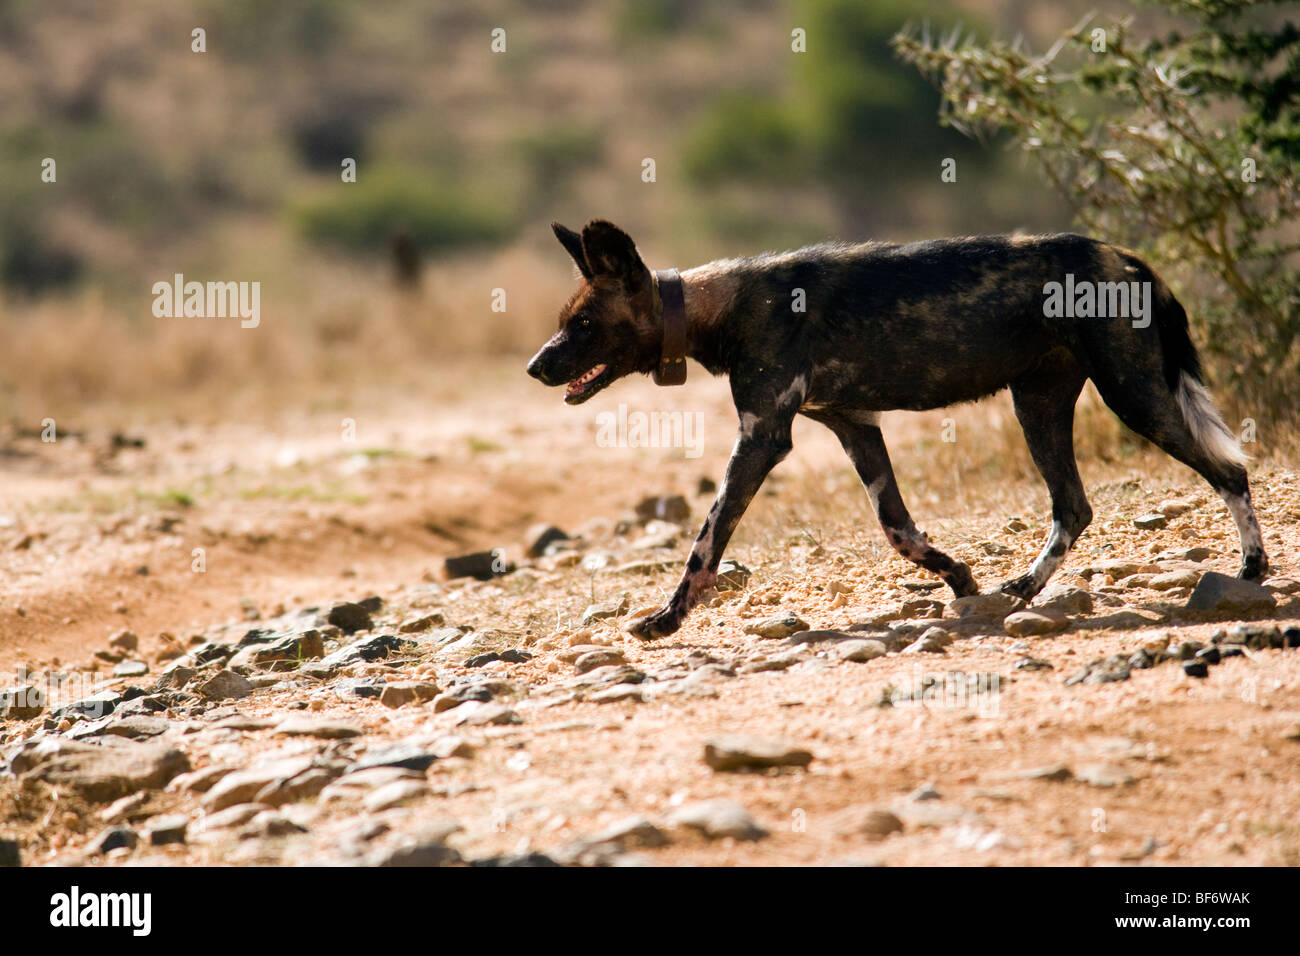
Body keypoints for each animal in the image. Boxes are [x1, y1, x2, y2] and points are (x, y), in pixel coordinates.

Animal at [522, 222, 1263, 642]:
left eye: (583, 324)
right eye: (563, 321)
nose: (535, 366)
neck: (720, 307)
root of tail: (1130, 258)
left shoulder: (762, 438)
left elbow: (705, 544)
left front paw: (667, 620)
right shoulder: (855, 427)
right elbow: (899, 529)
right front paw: (959, 580)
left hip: (1133, 396)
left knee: (1230, 472)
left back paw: (1253, 571)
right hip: (1038, 405)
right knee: (1073, 507)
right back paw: (1019, 592)